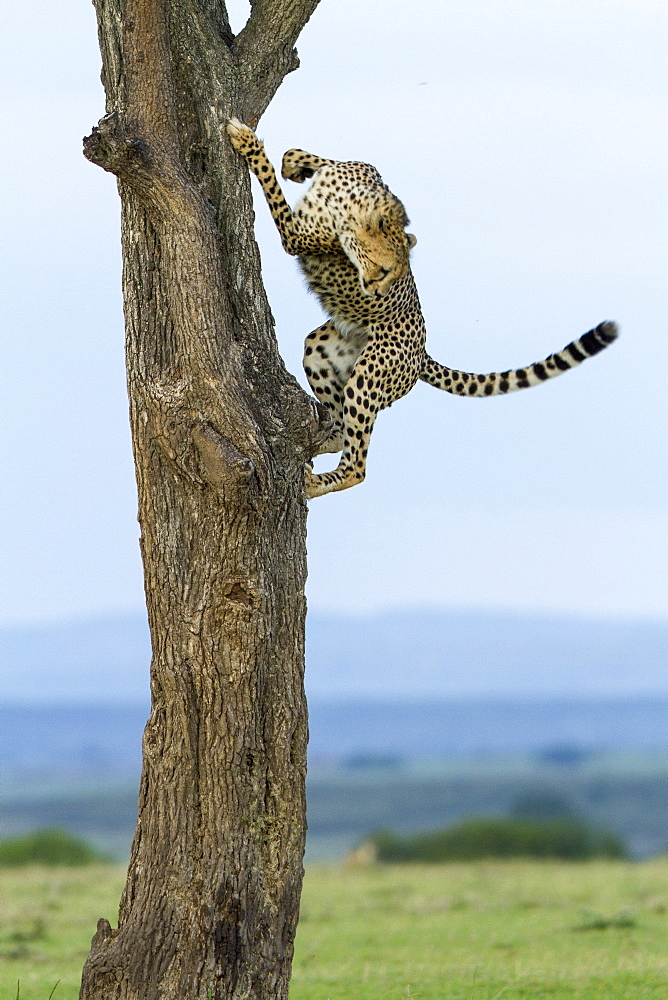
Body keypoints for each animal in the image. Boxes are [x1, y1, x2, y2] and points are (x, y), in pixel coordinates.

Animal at [227, 119, 620, 498]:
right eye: (386, 269)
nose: (377, 292)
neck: (351, 210)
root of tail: (422, 353)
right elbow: (307, 156)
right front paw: (294, 164)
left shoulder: (295, 235)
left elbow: (271, 184)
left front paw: (248, 142)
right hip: (320, 349)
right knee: (340, 431)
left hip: (368, 374)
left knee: (357, 463)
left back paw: (316, 482)